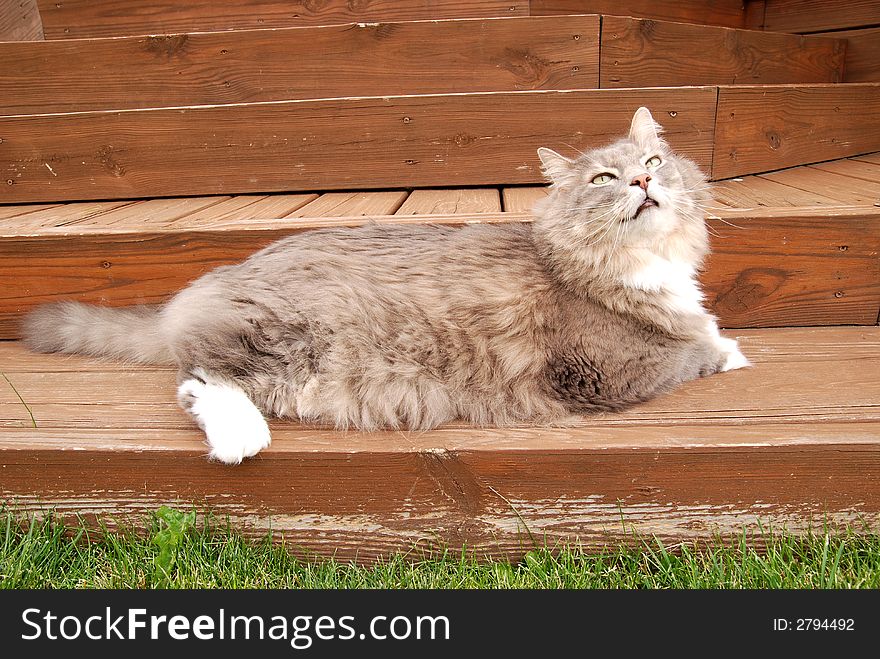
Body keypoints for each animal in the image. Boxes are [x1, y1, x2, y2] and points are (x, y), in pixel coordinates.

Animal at [22, 107, 748, 464]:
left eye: (653, 161)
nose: (643, 181)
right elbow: (694, 349)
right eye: (604, 179)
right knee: (199, 378)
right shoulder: (605, 369)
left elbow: (701, 328)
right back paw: (239, 440)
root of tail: (215, 283)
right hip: (286, 339)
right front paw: (730, 350)